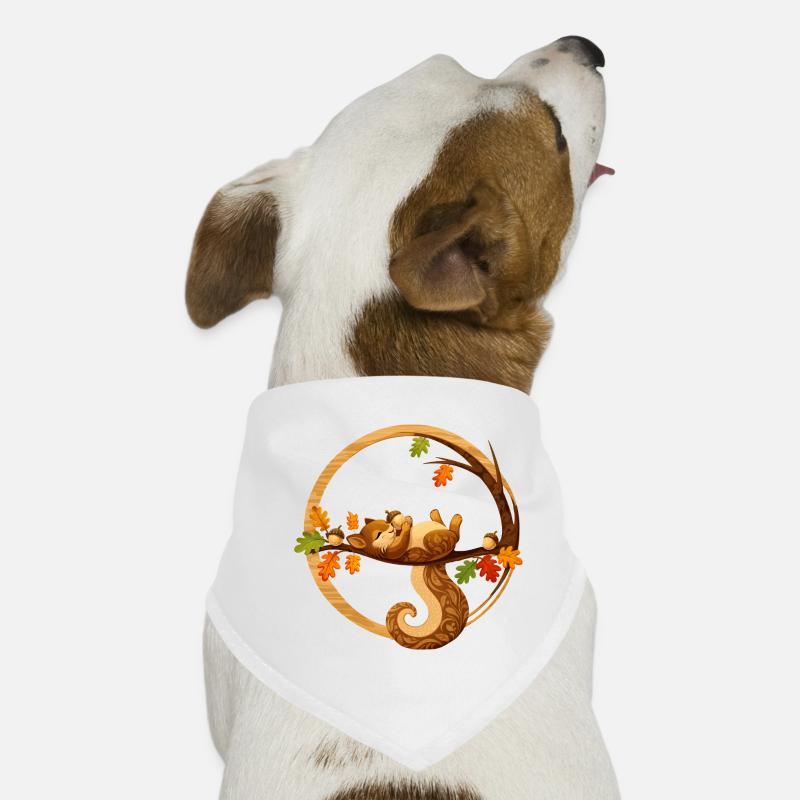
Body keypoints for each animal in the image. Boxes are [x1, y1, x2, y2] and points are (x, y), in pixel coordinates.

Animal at [346, 508, 470, 650]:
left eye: (385, 523)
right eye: (378, 534)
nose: (391, 526)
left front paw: (406, 521)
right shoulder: (391, 554)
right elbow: (401, 545)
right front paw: (406, 524)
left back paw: (435, 515)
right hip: (432, 540)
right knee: (454, 537)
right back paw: (455, 520)